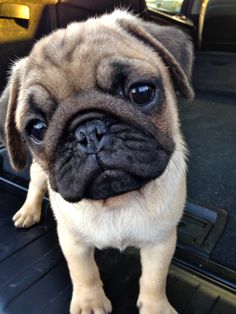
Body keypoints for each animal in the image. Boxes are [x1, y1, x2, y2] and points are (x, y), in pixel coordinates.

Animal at [0, 9, 194, 314]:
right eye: (37, 128)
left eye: (141, 92)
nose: (88, 132)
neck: (116, 201)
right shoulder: (72, 241)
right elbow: (84, 272)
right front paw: (90, 304)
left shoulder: (161, 241)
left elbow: (154, 280)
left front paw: (156, 307)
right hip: (39, 173)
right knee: (35, 185)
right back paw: (28, 212)